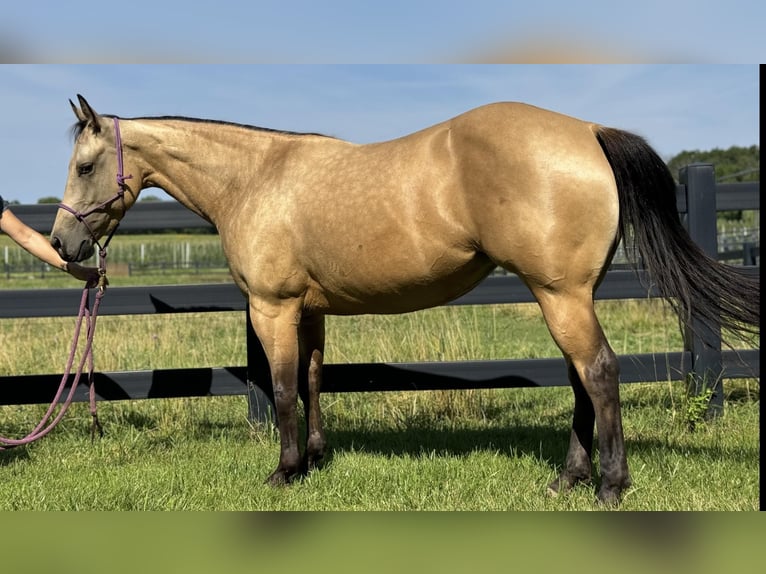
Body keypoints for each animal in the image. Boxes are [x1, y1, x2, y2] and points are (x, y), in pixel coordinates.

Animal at [51, 95, 759, 504]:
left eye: (85, 166)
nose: (63, 243)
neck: (257, 178)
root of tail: (587, 131)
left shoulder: (274, 307)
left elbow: (280, 388)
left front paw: (283, 472)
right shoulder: (311, 310)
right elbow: (312, 382)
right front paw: (314, 463)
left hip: (561, 296)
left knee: (601, 373)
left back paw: (610, 486)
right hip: (567, 297)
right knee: (583, 379)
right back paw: (568, 479)